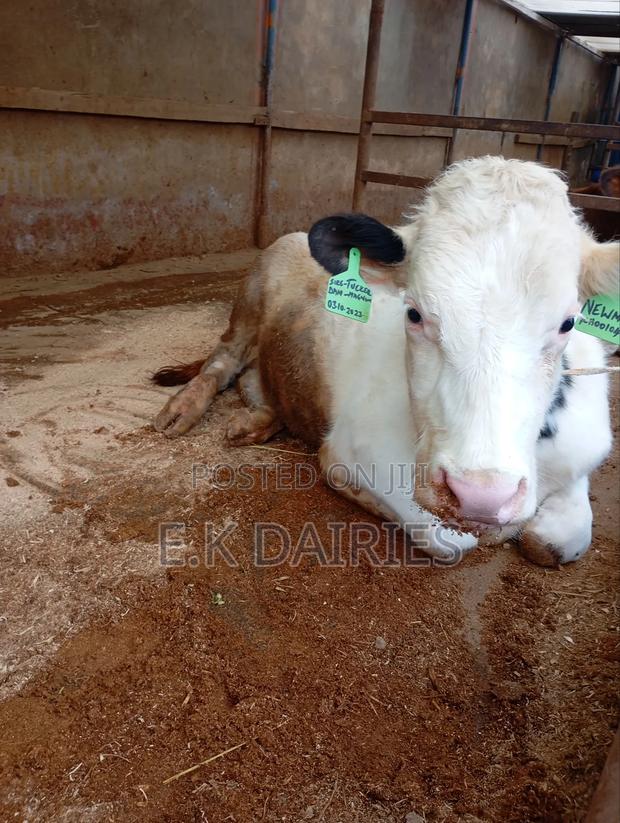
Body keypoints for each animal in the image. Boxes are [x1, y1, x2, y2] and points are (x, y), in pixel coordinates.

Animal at [152, 157, 618, 567]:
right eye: (413, 313)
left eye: (568, 322)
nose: (480, 494)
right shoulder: (362, 449)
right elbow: (451, 540)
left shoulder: (581, 456)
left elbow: (560, 541)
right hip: (251, 297)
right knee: (221, 363)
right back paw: (181, 410)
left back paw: (258, 420)